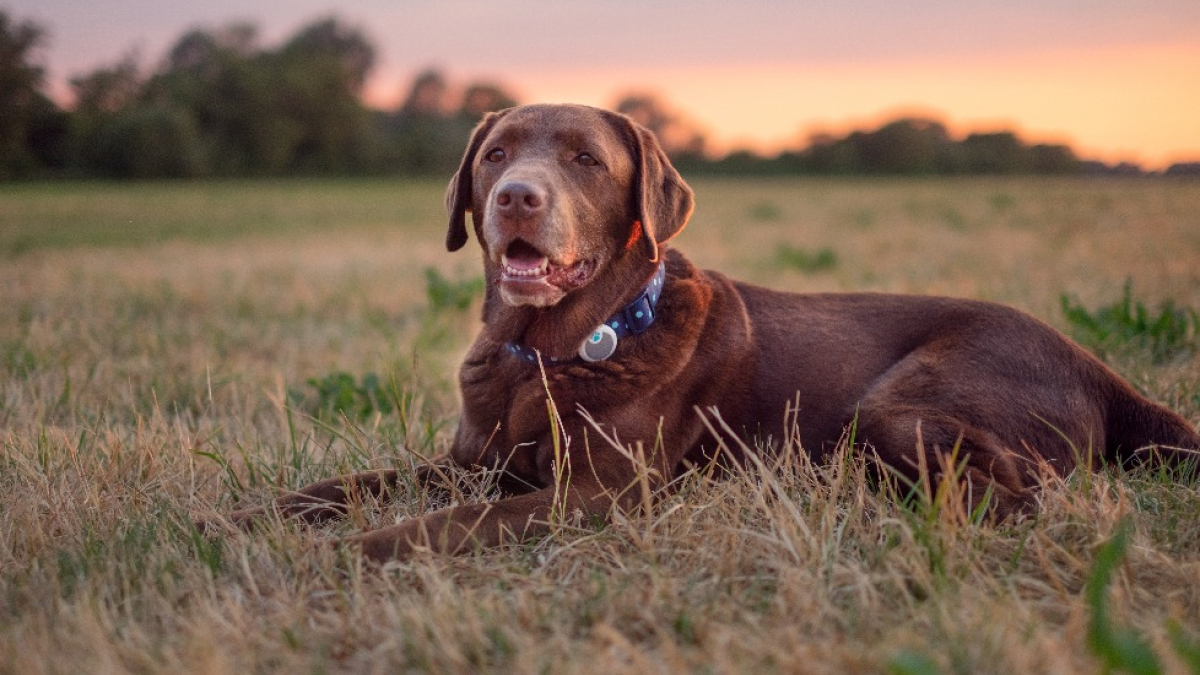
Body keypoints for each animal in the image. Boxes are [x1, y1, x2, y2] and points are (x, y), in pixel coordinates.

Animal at [216, 103, 1200, 557]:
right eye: (495, 154)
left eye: (584, 159)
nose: (516, 198)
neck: (548, 353)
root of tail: (1103, 369)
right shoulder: (471, 459)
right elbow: (345, 485)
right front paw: (244, 516)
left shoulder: (603, 492)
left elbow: (445, 521)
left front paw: (351, 552)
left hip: (903, 405)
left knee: (1025, 494)